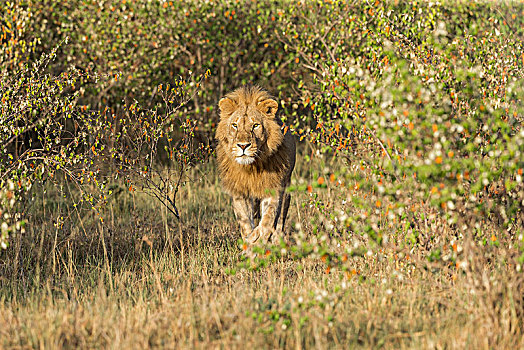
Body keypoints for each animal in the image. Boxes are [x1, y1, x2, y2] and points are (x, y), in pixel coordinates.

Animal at [216, 86, 296, 245]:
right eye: (235, 125)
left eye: (255, 125)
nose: (243, 145)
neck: (251, 168)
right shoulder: (239, 192)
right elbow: (245, 222)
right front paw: (249, 241)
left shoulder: (273, 187)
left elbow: (268, 220)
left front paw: (257, 240)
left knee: (280, 220)